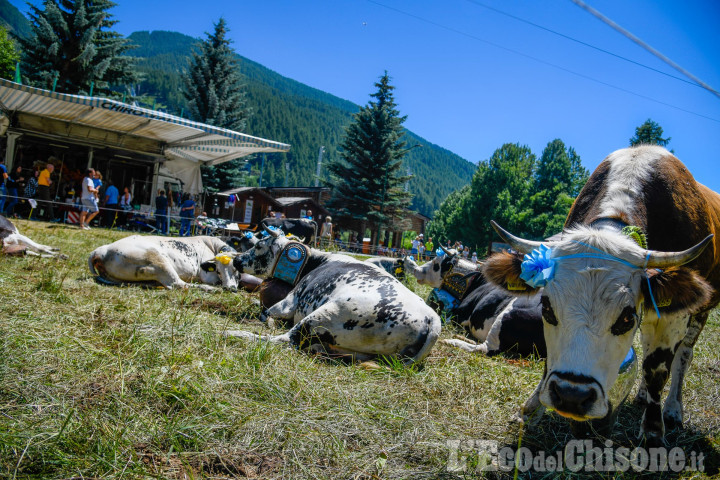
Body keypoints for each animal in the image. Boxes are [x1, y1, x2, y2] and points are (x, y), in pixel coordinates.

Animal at [87, 234, 262, 290]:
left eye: (236, 270)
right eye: (218, 270)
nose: (230, 288)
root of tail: (102, 249)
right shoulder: (207, 275)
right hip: (158, 260)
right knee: (177, 284)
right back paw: (209, 289)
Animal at [225, 228, 442, 364]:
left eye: (259, 245)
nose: (236, 259)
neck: (315, 262)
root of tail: (432, 319)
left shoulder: (289, 302)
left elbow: (266, 312)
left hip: (322, 316)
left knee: (284, 340)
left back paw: (236, 334)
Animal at [404, 248, 544, 356]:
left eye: (436, 263)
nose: (416, 270)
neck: (476, 282)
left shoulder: (460, 314)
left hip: (503, 319)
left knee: (484, 348)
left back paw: (452, 341)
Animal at [484, 146, 720, 446]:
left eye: (626, 318)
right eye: (546, 308)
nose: (572, 396)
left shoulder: (672, 318)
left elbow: (657, 369)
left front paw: (653, 432)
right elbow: (550, 360)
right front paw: (531, 409)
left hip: (700, 311)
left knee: (683, 356)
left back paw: (672, 410)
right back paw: (642, 396)